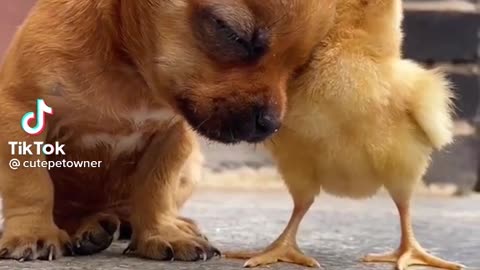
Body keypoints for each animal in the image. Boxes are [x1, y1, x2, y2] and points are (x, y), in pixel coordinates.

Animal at [0, 0, 336, 262]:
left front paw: (161, 233)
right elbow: (32, 184)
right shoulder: (20, 114)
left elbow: (156, 187)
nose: (270, 123)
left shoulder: (171, 138)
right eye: (231, 33)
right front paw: (32, 233)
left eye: (301, 66)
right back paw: (89, 227)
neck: (129, 71)